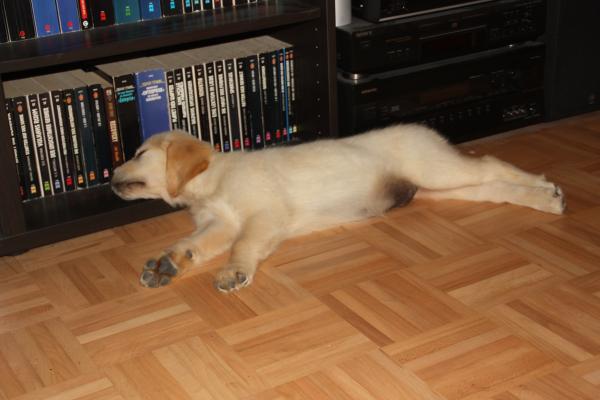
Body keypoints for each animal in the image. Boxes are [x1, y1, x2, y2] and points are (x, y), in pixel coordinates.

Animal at [111, 124, 565, 292]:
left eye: (139, 154)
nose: (110, 176)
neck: (211, 183)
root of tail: (426, 130)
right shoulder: (217, 223)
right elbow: (193, 244)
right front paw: (168, 263)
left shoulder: (263, 216)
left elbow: (243, 246)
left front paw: (233, 271)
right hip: (437, 190)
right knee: (491, 187)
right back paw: (542, 197)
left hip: (438, 170)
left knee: (490, 163)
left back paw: (547, 188)